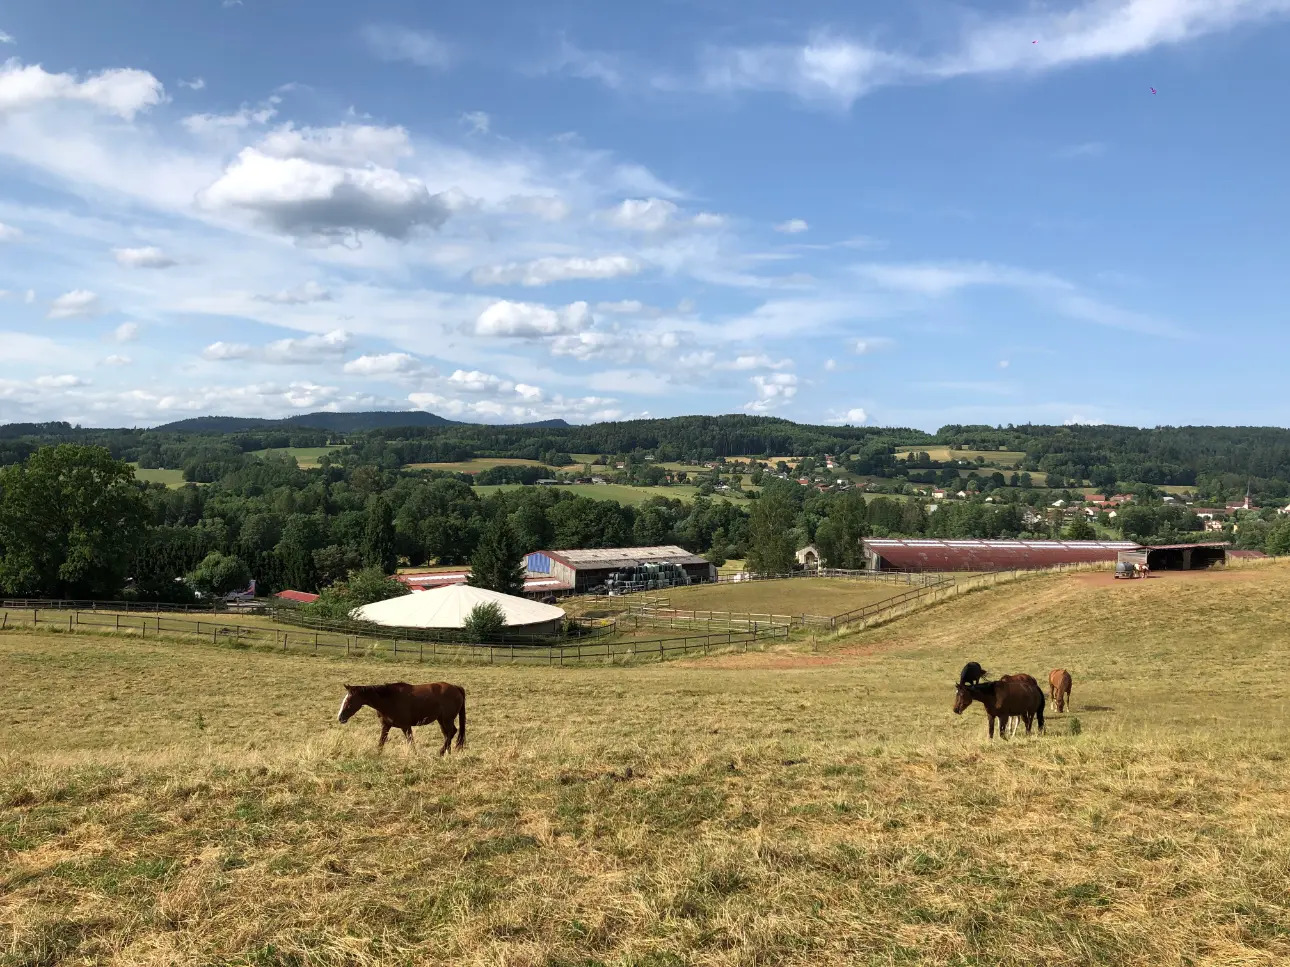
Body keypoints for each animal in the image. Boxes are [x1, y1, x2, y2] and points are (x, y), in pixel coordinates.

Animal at [337, 680, 469, 758]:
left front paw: (415, 755)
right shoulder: (386, 726)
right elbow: (381, 741)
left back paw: (441, 752)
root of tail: (456, 688)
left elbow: (410, 741)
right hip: (441, 720)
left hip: (447, 719)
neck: (390, 699)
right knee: (448, 734)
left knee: (451, 732)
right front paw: (377, 755)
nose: (340, 717)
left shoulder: (406, 726)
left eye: (349, 701)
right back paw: (447, 752)